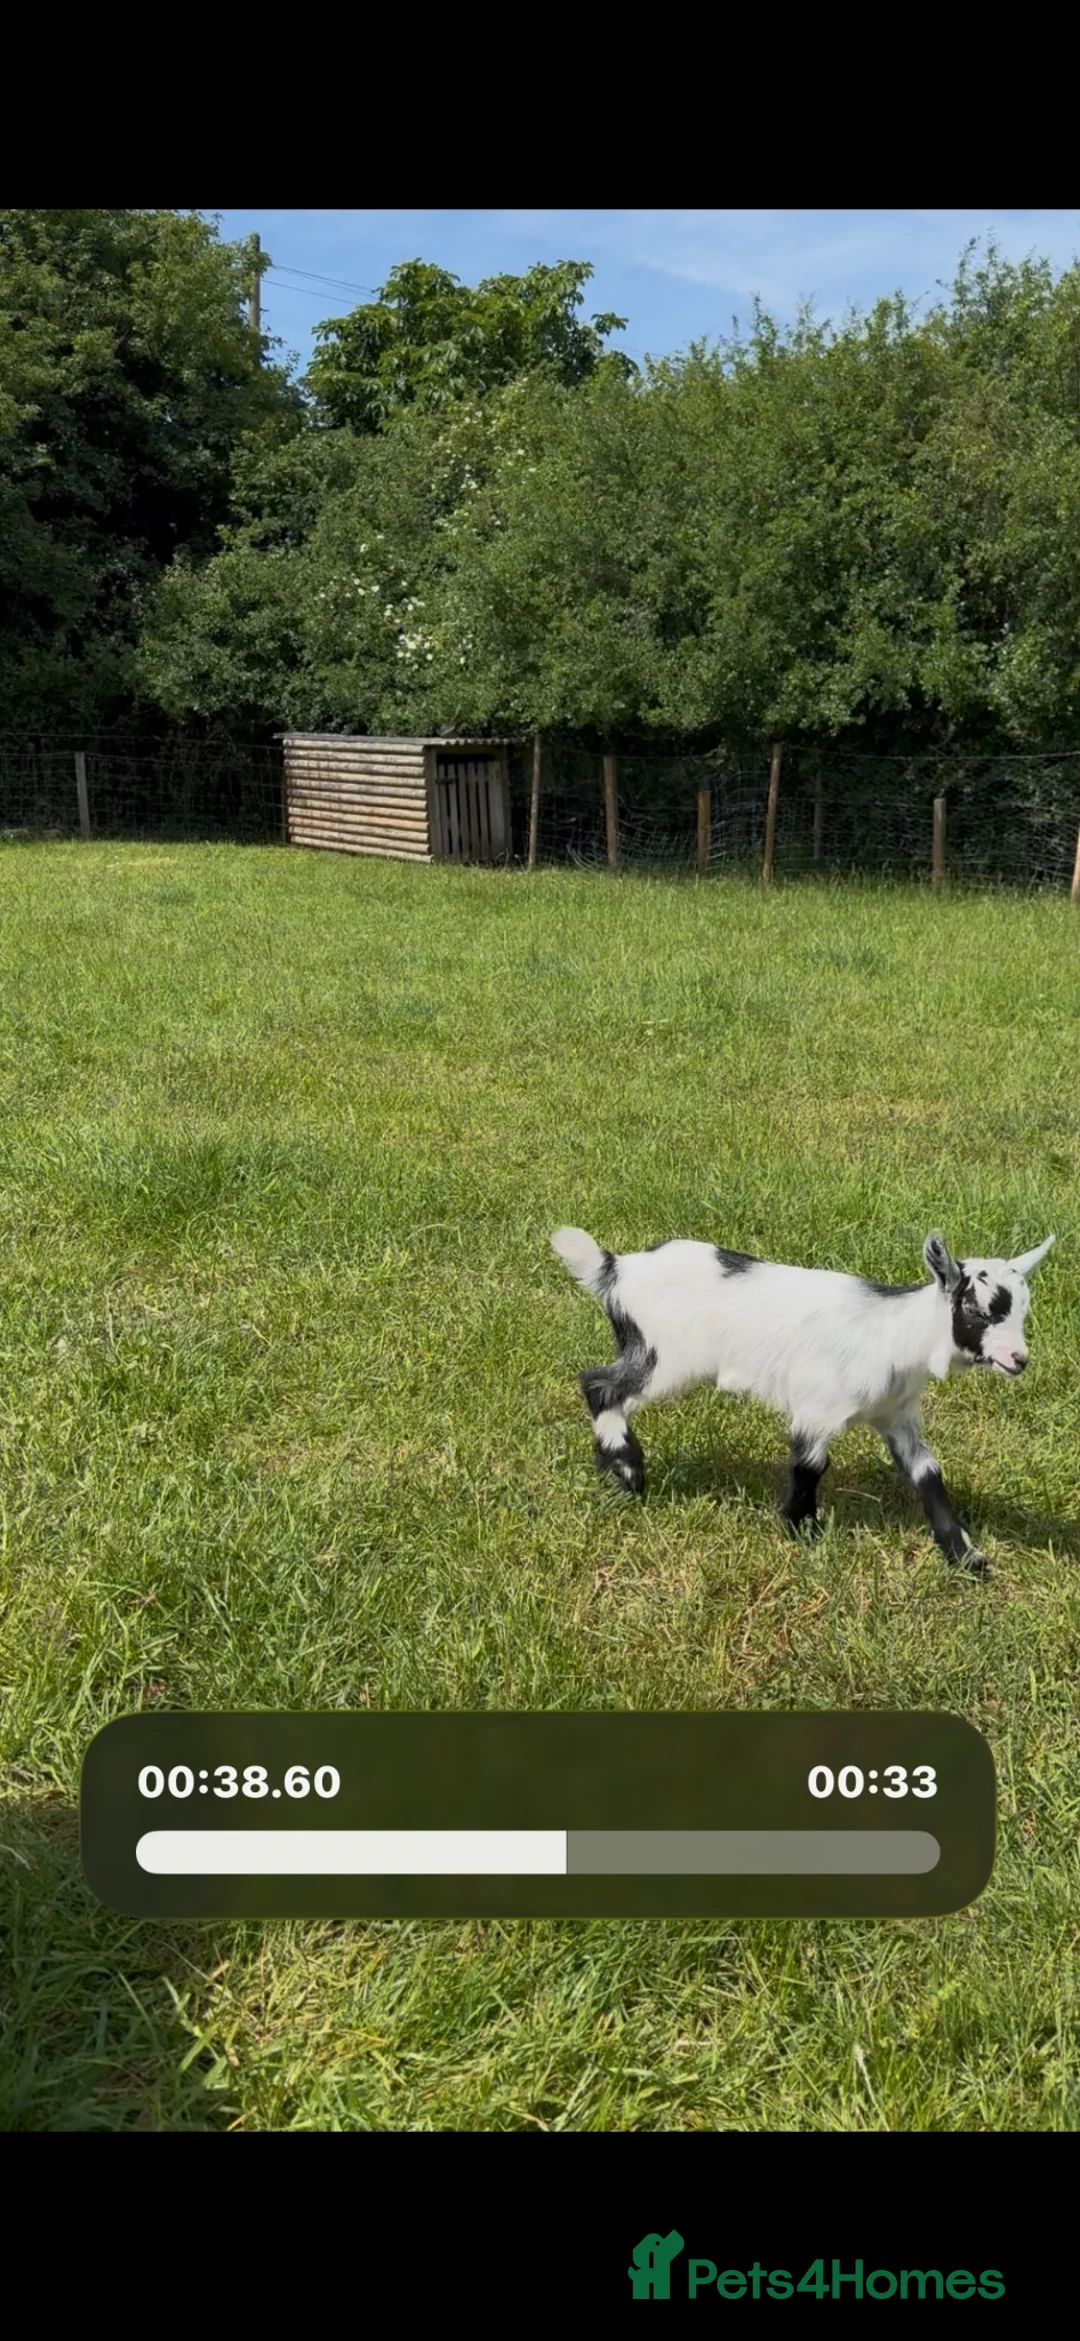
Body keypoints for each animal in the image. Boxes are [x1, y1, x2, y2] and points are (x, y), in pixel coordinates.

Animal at [550, 1226, 1055, 1575]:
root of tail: (616, 1269)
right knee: (599, 1385)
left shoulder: (896, 1417)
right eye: (975, 1309)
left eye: (1023, 1309)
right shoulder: (818, 1407)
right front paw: (801, 1531)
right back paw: (627, 1470)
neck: (894, 1334)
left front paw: (966, 1557)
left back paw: (613, 1465)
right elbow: (809, 1465)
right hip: (664, 1358)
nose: (1018, 1359)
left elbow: (928, 1473)